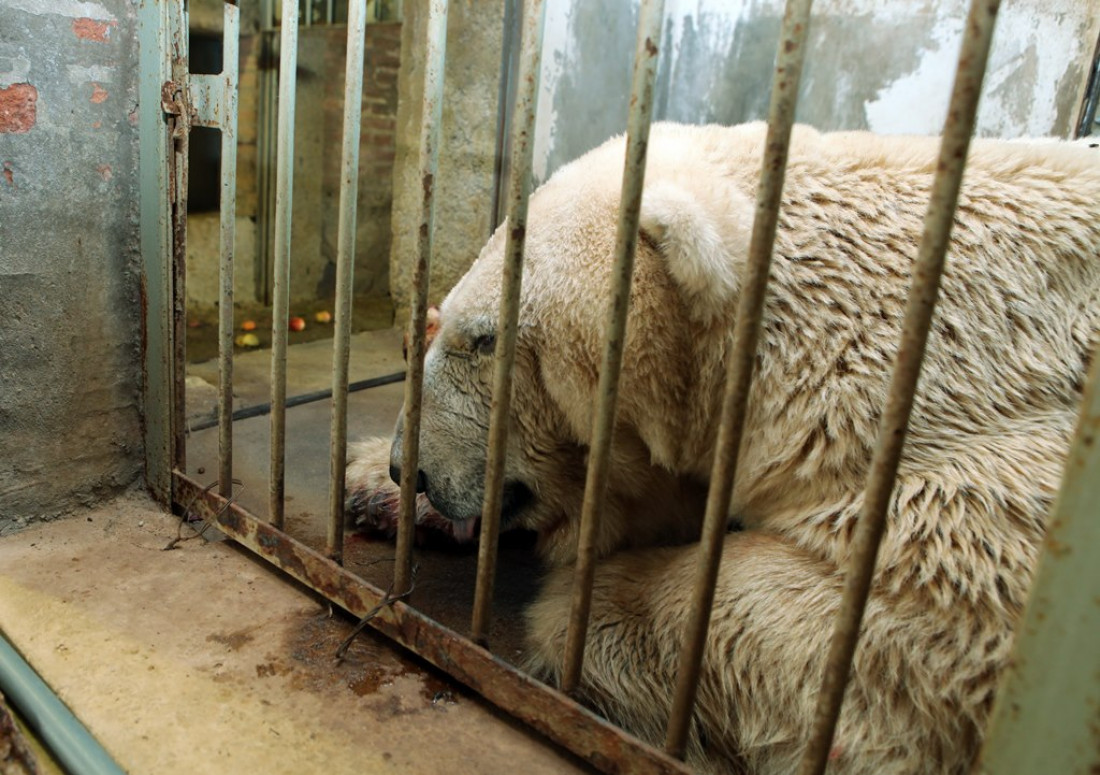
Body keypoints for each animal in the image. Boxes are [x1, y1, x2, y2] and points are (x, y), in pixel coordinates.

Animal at [345, 124, 1100, 769]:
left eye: (485, 338)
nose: (409, 469)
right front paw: (368, 487)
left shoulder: (982, 444)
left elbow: (905, 620)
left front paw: (594, 608)